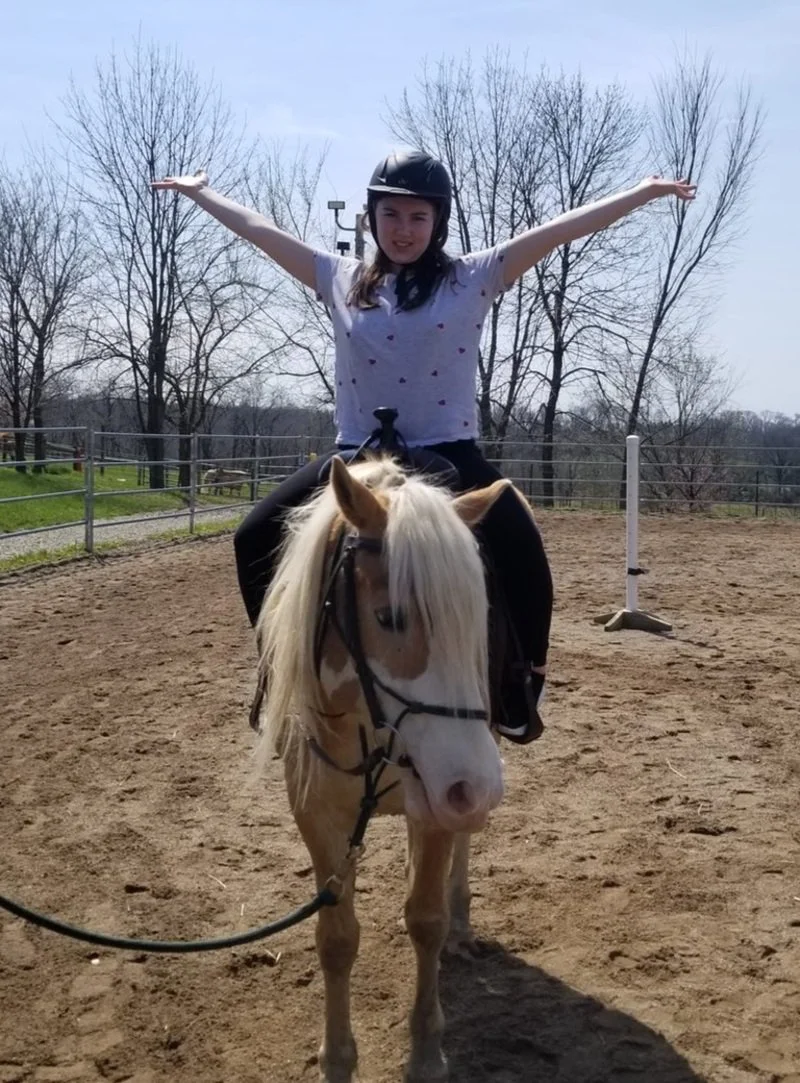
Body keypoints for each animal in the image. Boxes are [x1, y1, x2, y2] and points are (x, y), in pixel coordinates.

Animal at [255, 454, 509, 1083]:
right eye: (389, 615)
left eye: (478, 618)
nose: (475, 787)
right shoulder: (317, 814)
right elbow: (336, 938)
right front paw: (337, 1058)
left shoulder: (441, 800)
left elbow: (426, 920)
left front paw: (425, 1054)